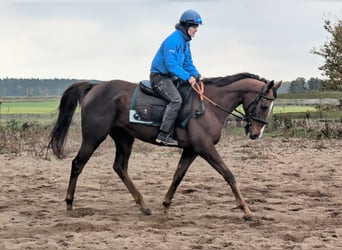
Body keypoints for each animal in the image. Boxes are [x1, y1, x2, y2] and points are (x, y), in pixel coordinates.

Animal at [49, 72, 282, 221]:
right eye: (263, 105)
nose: (256, 134)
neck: (209, 107)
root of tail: (94, 87)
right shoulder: (205, 148)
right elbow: (229, 175)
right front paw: (247, 211)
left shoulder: (191, 150)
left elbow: (178, 176)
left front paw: (166, 206)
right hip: (94, 137)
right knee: (77, 163)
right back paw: (69, 203)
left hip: (124, 138)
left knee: (120, 167)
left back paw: (143, 205)